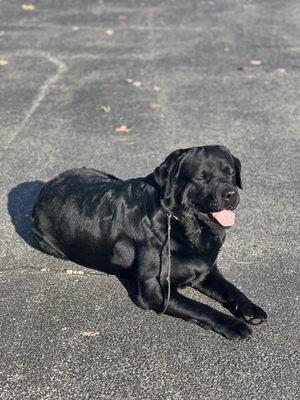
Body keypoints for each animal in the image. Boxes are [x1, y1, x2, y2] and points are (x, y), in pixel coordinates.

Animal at [32, 145, 268, 340]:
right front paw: (234, 324)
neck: (181, 223)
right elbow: (201, 308)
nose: (231, 194)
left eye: (230, 173)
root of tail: (47, 184)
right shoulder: (155, 289)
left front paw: (250, 308)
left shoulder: (206, 268)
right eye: (202, 177)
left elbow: (230, 288)